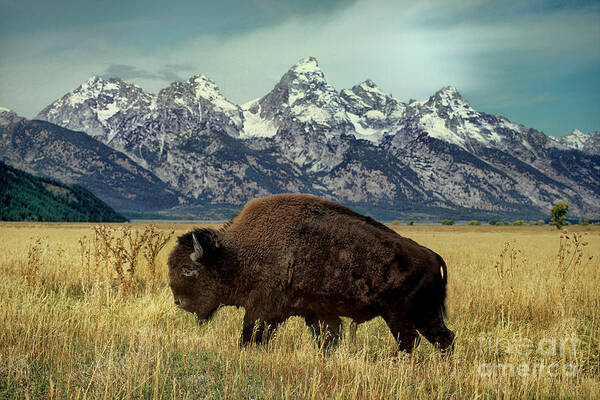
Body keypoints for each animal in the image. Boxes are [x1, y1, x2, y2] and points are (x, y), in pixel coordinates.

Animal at [168, 194, 454, 354]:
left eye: (189, 269)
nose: (179, 302)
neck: (234, 254)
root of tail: (433, 256)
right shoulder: (318, 314)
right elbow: (327, 337)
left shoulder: (261, 309)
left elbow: (251, 334)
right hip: (424, 314)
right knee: (444, 337)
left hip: (399, 316)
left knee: (410, 342)